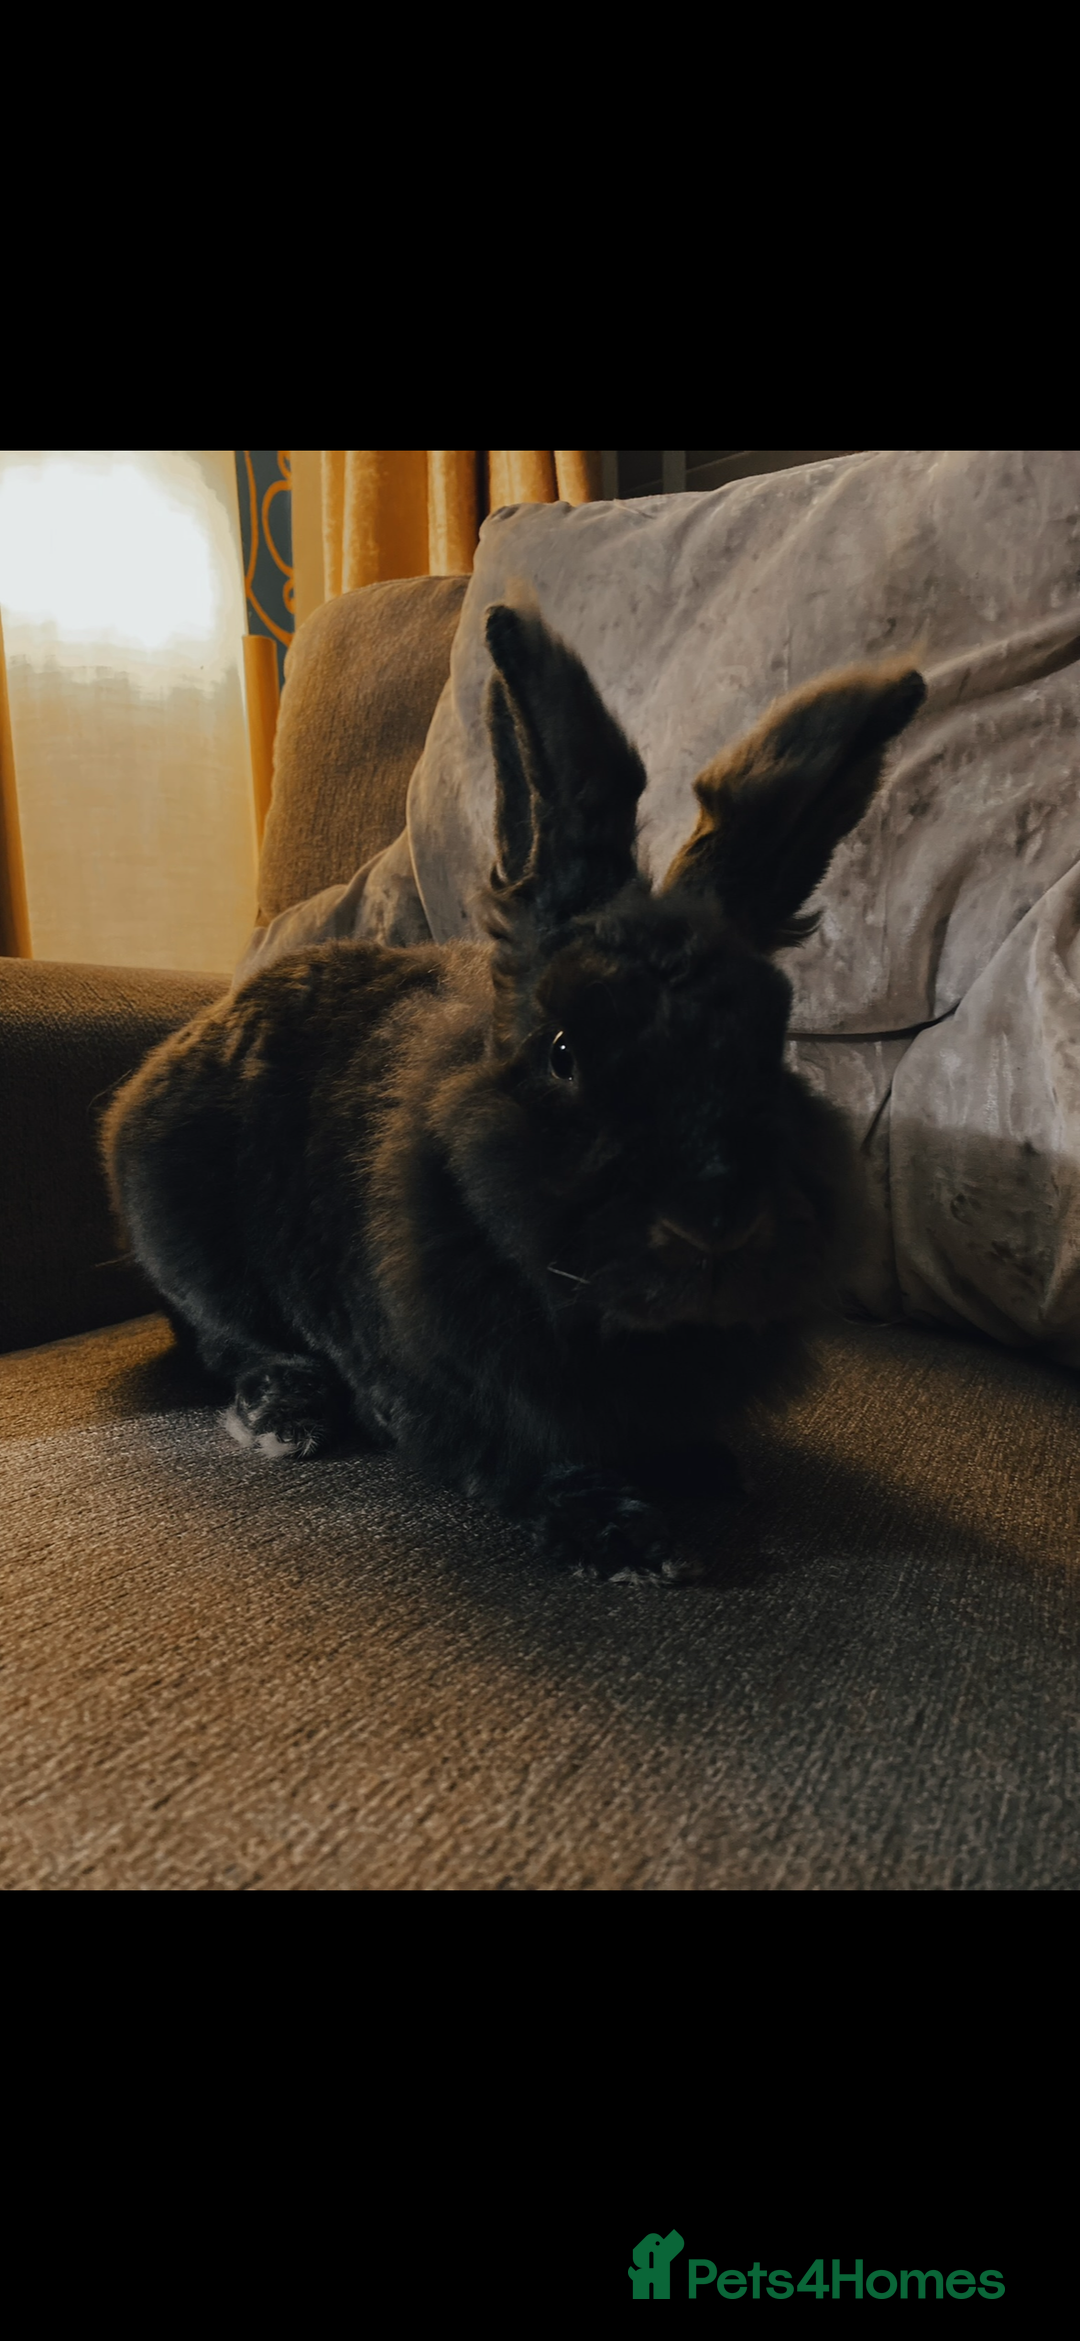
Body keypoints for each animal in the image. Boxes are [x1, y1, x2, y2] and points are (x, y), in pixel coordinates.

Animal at [101, 599, 926, 1580]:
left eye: (774, 1040)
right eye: (563, 1052)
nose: (716, 1221)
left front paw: (704, 1467)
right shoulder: (451, 1389)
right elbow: (531, 1453)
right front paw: (625, 1537)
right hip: (182, 1232)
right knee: (220, 1337)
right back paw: (287, 1413)